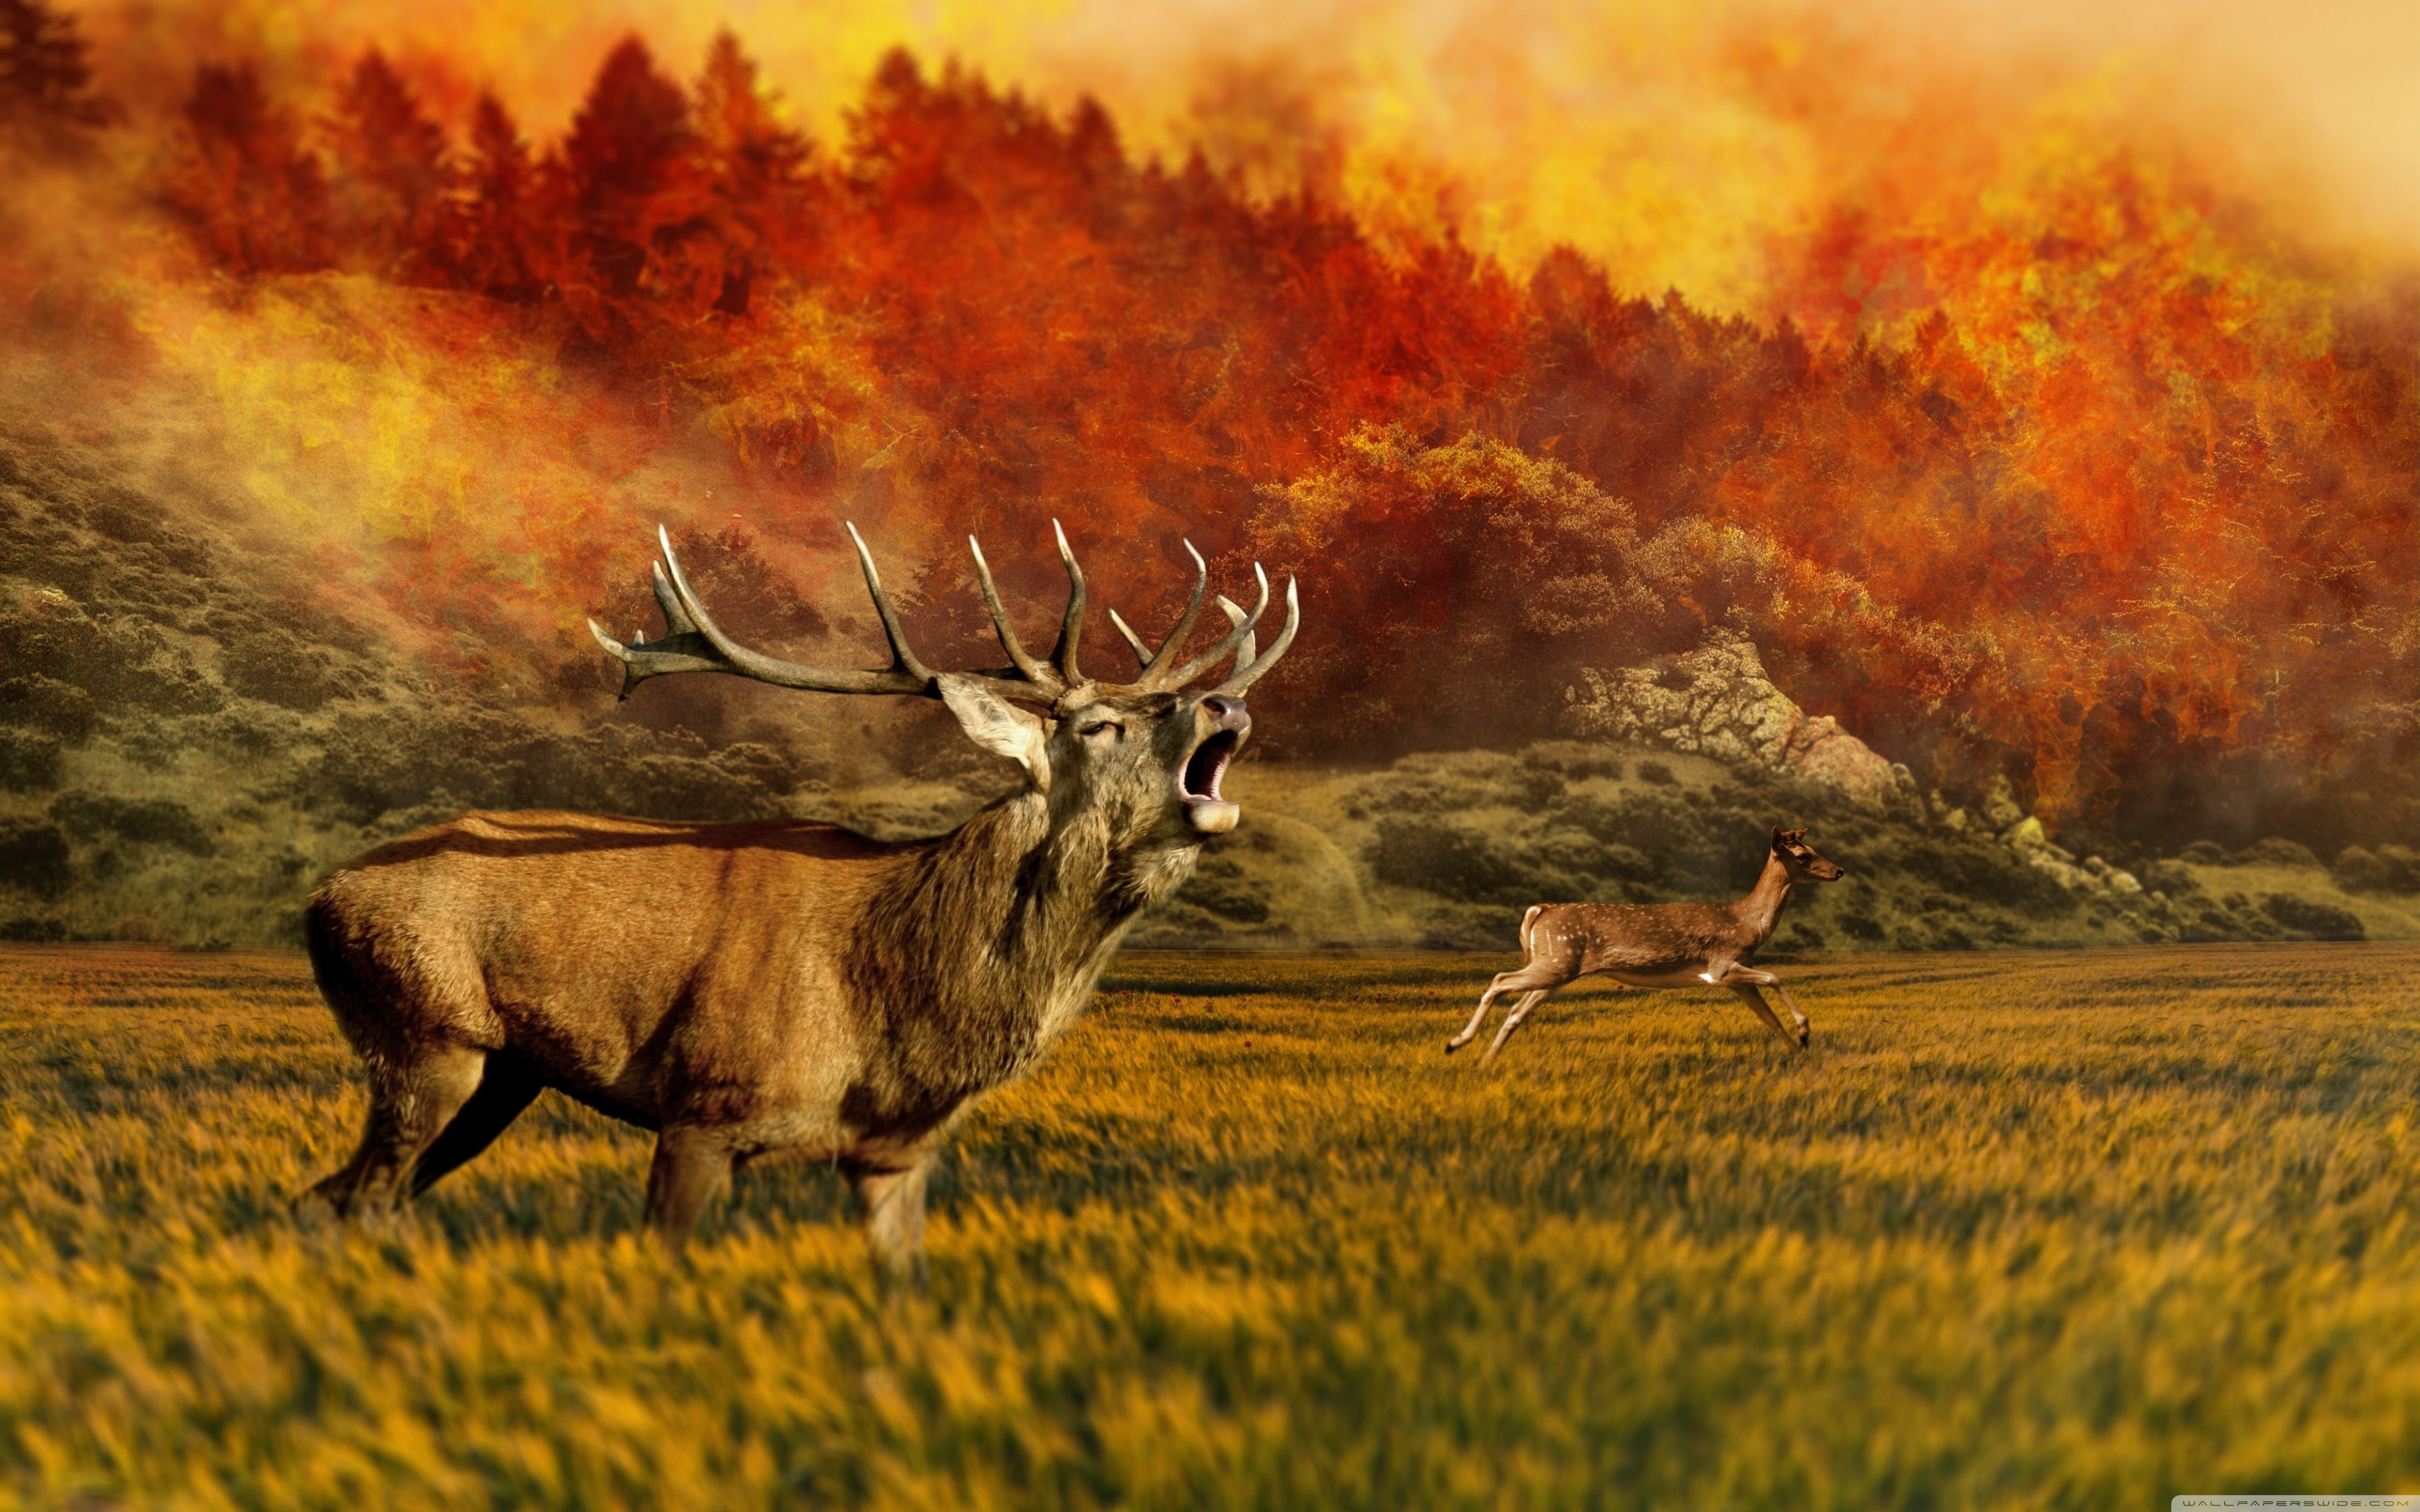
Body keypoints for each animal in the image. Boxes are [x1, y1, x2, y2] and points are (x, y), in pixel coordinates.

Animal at [301, 519, 1297, 1278]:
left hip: (503, 1074)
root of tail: (320, 897)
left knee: (346, 1198)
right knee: (352, 1199)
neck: (896, 1008)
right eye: (1098, 725)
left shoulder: (897, 1153)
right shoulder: (704, 1104)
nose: (1225, 706)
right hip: (424, 1035)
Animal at [1444, 827, 1846, 1064]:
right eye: (1803, 856)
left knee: (1516, 1010)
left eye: (1814, 848)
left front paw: (1802, 1055)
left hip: (1556, 968)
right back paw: (1456, 1043)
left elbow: (1770, 1019)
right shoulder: (1720, 966)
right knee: (1499, 981)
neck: (1747, 923)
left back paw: (1485, 1062)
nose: (1840, 870)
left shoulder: (1735, 978)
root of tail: (1541, 909)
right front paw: (1805, 1032)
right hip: (1557, 960)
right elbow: (1776, 978)